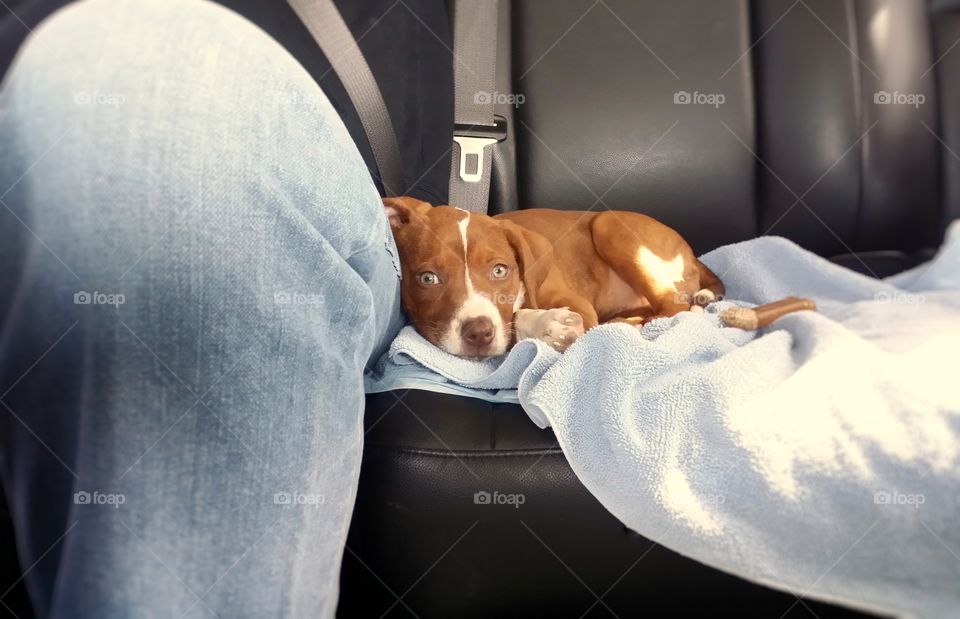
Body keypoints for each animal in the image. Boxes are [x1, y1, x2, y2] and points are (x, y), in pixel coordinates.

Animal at [382, 196, 720, 360]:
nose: (479, 333)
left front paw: (547, 324)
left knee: (672, 306)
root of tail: (691, 254)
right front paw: (545, 323)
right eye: (428, 278)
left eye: (500, 270)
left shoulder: (577, 304)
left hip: (610, 225)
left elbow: (518, 317)